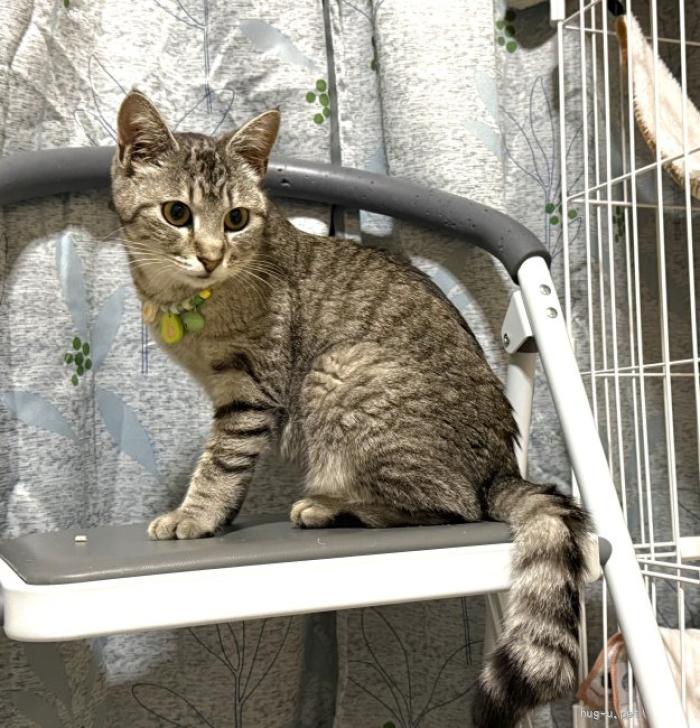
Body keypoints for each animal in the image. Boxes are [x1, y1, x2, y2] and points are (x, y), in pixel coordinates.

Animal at [111, 90, 594, 728]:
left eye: (236, 219)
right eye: (176, 213)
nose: (211, 256)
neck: (190, 303)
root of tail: (500, 471)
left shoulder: (252, 390)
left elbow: (222, 463)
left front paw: (197, 515)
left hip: (340, 372)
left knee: (453, 508)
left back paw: (334, 508)